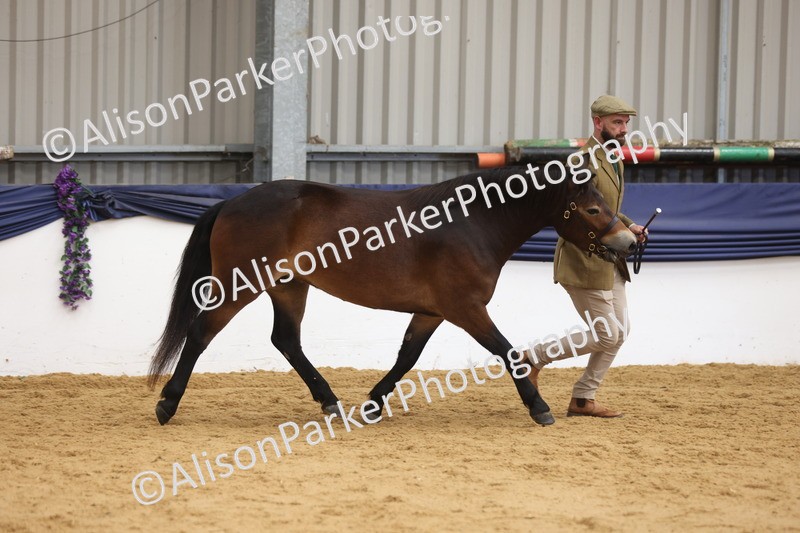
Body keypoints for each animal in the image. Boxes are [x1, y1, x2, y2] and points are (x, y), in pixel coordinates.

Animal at [148, 165, 637, 427]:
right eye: (592, 208)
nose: (629, 242)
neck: (470, 222)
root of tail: (232, 203)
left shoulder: (432, 312)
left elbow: (407, 357)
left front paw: (372, 404)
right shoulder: (466, 309)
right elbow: (507, 352)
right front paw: (539, 408)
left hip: (289, 286)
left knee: (285, 340)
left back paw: (329, 401)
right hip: (240, 284)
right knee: (201, 332)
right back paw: (167, 404)